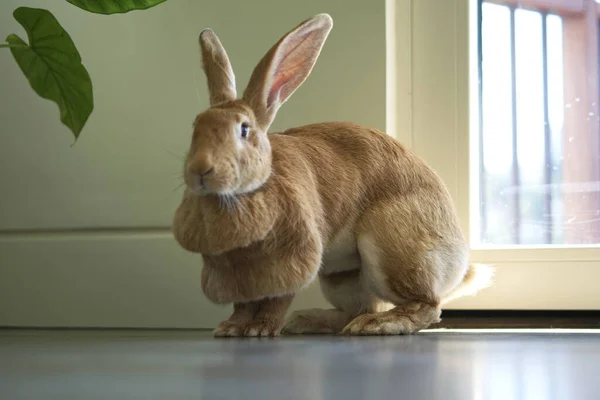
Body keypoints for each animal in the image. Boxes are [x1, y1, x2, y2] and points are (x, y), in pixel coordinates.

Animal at [172, 13, 492, 338]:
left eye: (244, 129)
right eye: (195, 126)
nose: (200, 169)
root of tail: (460, 263)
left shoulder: (292, 259)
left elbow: (277, 300)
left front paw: (261, 329)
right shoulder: (237, 275)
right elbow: (243, 304)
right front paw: (231, 328)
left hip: (393, 249)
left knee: (426, 305)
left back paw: (377, 324)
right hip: (341, 276)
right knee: (359, 307)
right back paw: (308, 321)